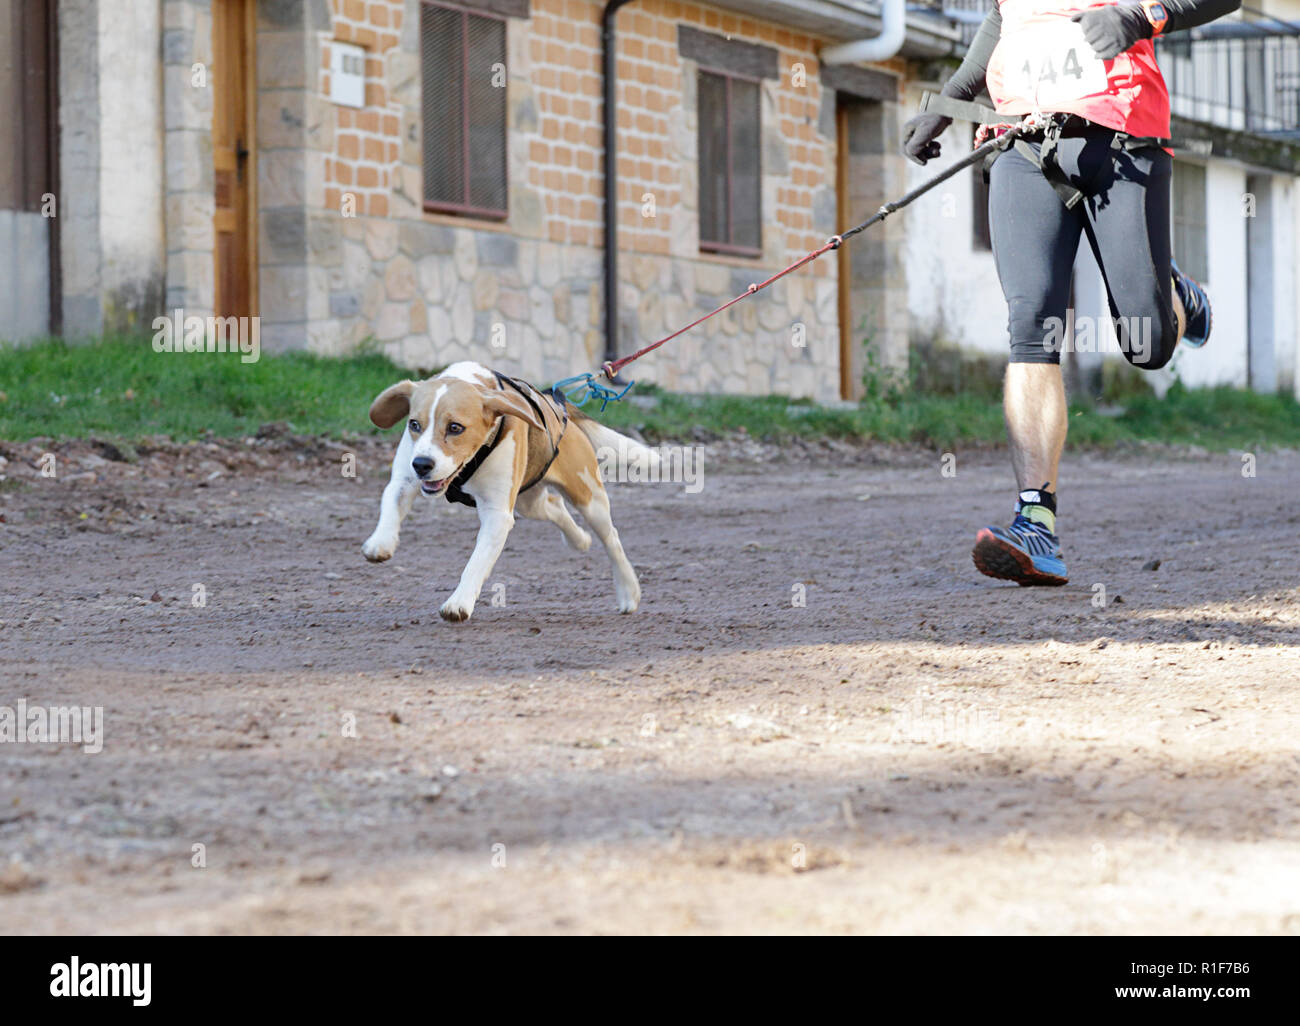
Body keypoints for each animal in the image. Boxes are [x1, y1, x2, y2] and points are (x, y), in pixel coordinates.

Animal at [364, 361, 650, 616]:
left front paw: (459, 603)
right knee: (554, 505)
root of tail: (560, 405)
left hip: (588, 498)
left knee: (612, 539)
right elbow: (391, 502)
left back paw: (628, 591)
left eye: (455, 428)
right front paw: (380, 542)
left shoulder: (497, 514)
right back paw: (579, 540)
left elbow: (476, 563)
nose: (422, 464)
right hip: (528, 502)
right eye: (414, 424)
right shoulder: (404, 479)